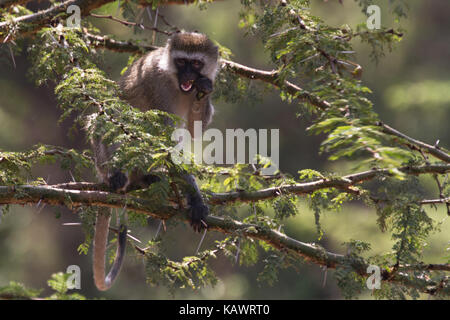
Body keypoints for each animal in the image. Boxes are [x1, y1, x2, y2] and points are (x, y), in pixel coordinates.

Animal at [89, 31, 220, 290]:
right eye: (182, 62)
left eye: (196, 64)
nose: (188, 77)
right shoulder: (157, 84)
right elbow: (164, 142)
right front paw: (195, 200)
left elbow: (193, 130)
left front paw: (204, 89)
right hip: (104, 158)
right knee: (110, 119)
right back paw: (116, 177)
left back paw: (146, 179)